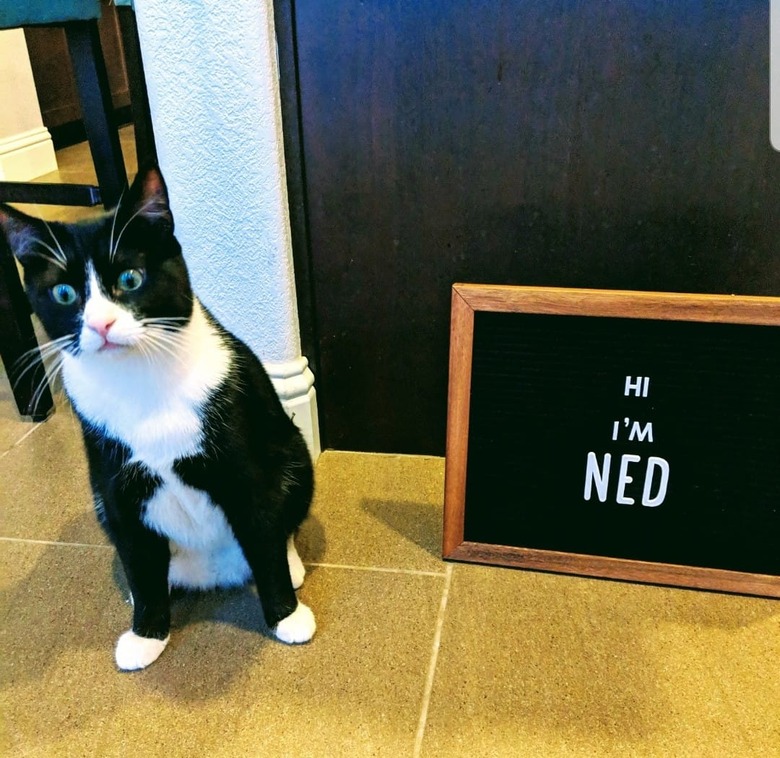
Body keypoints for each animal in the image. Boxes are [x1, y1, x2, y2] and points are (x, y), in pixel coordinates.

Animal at [1, 166, 316, 672]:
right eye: (64, 293)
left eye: (131, 278)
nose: (102, 325)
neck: (141, 386)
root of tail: (211, 571)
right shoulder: (114, 485)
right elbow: (136, 551)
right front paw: (146, 633)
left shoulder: (243, 467)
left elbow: (262, 531)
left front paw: (286, 616)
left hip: (292, 450)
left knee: (279, 521)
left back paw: (290, 564)